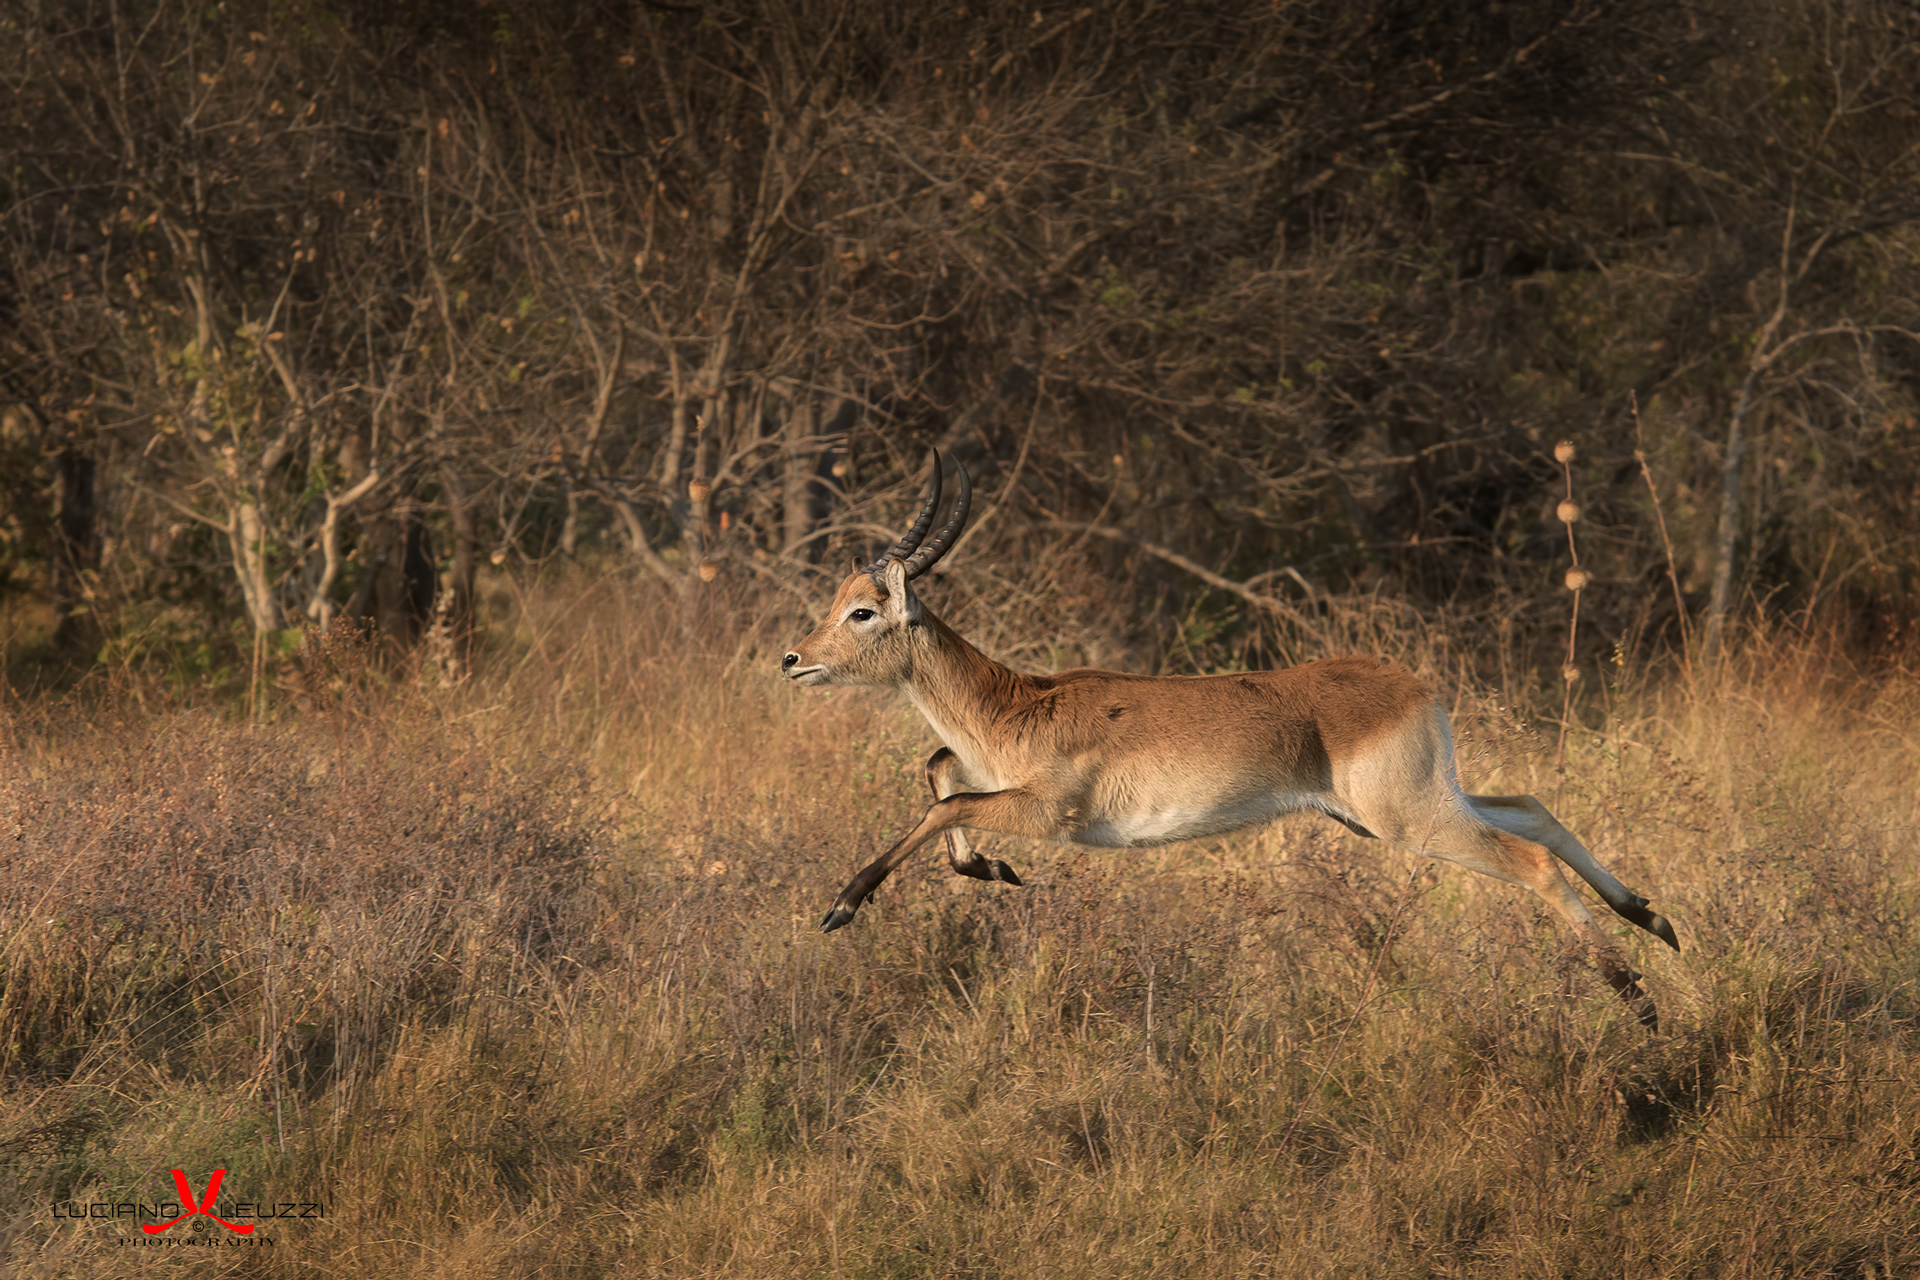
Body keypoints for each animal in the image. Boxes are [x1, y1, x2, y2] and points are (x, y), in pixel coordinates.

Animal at [782, 454, 1680, 1026]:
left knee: (1530, 858)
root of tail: (1415, 685)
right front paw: (992, 870)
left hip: (1407, 819)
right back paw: (1655, 922)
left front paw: (840, 906)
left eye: (862, 609)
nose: (793, 659)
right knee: (1535, 808)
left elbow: (944, 801)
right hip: (1403, 807)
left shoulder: (1051, 815)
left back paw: (1639, 1000)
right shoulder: (994, 781)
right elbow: (938, 768)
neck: (1012, 705)